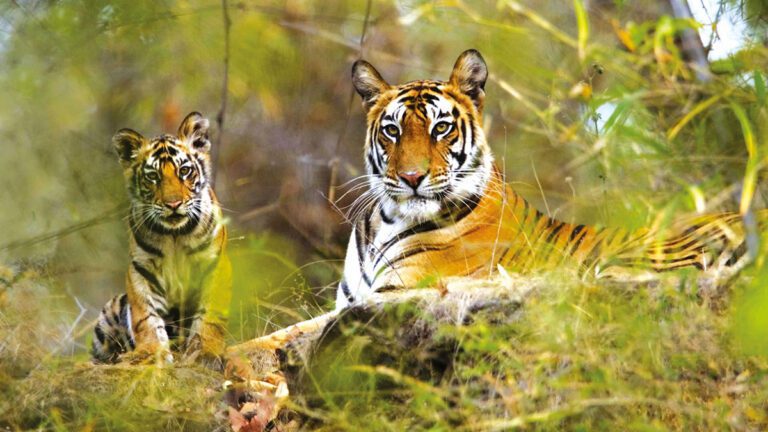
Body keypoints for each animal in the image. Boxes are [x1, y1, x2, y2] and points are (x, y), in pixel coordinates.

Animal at [92, 112, 232, 366]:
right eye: (153, 176)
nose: (173, 204)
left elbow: (210, 317)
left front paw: (205, 353)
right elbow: (146, 318)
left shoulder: (215, 265)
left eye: (184, 171)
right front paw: (150, 353)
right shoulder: (141, 271)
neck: (175, 234)